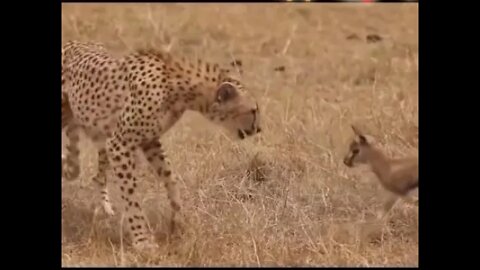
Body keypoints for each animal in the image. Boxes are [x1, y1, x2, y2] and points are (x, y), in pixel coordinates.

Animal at [62, 40, 262, 251]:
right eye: (253, 110)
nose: (259, 129)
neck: (183, 92)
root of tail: (71, 42)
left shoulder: (148, 141)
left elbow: (169, 177)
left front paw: (178, 221)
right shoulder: (120, 143)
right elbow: (131, 196)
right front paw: (142, 240)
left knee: (96, 175)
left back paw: (104, 207)